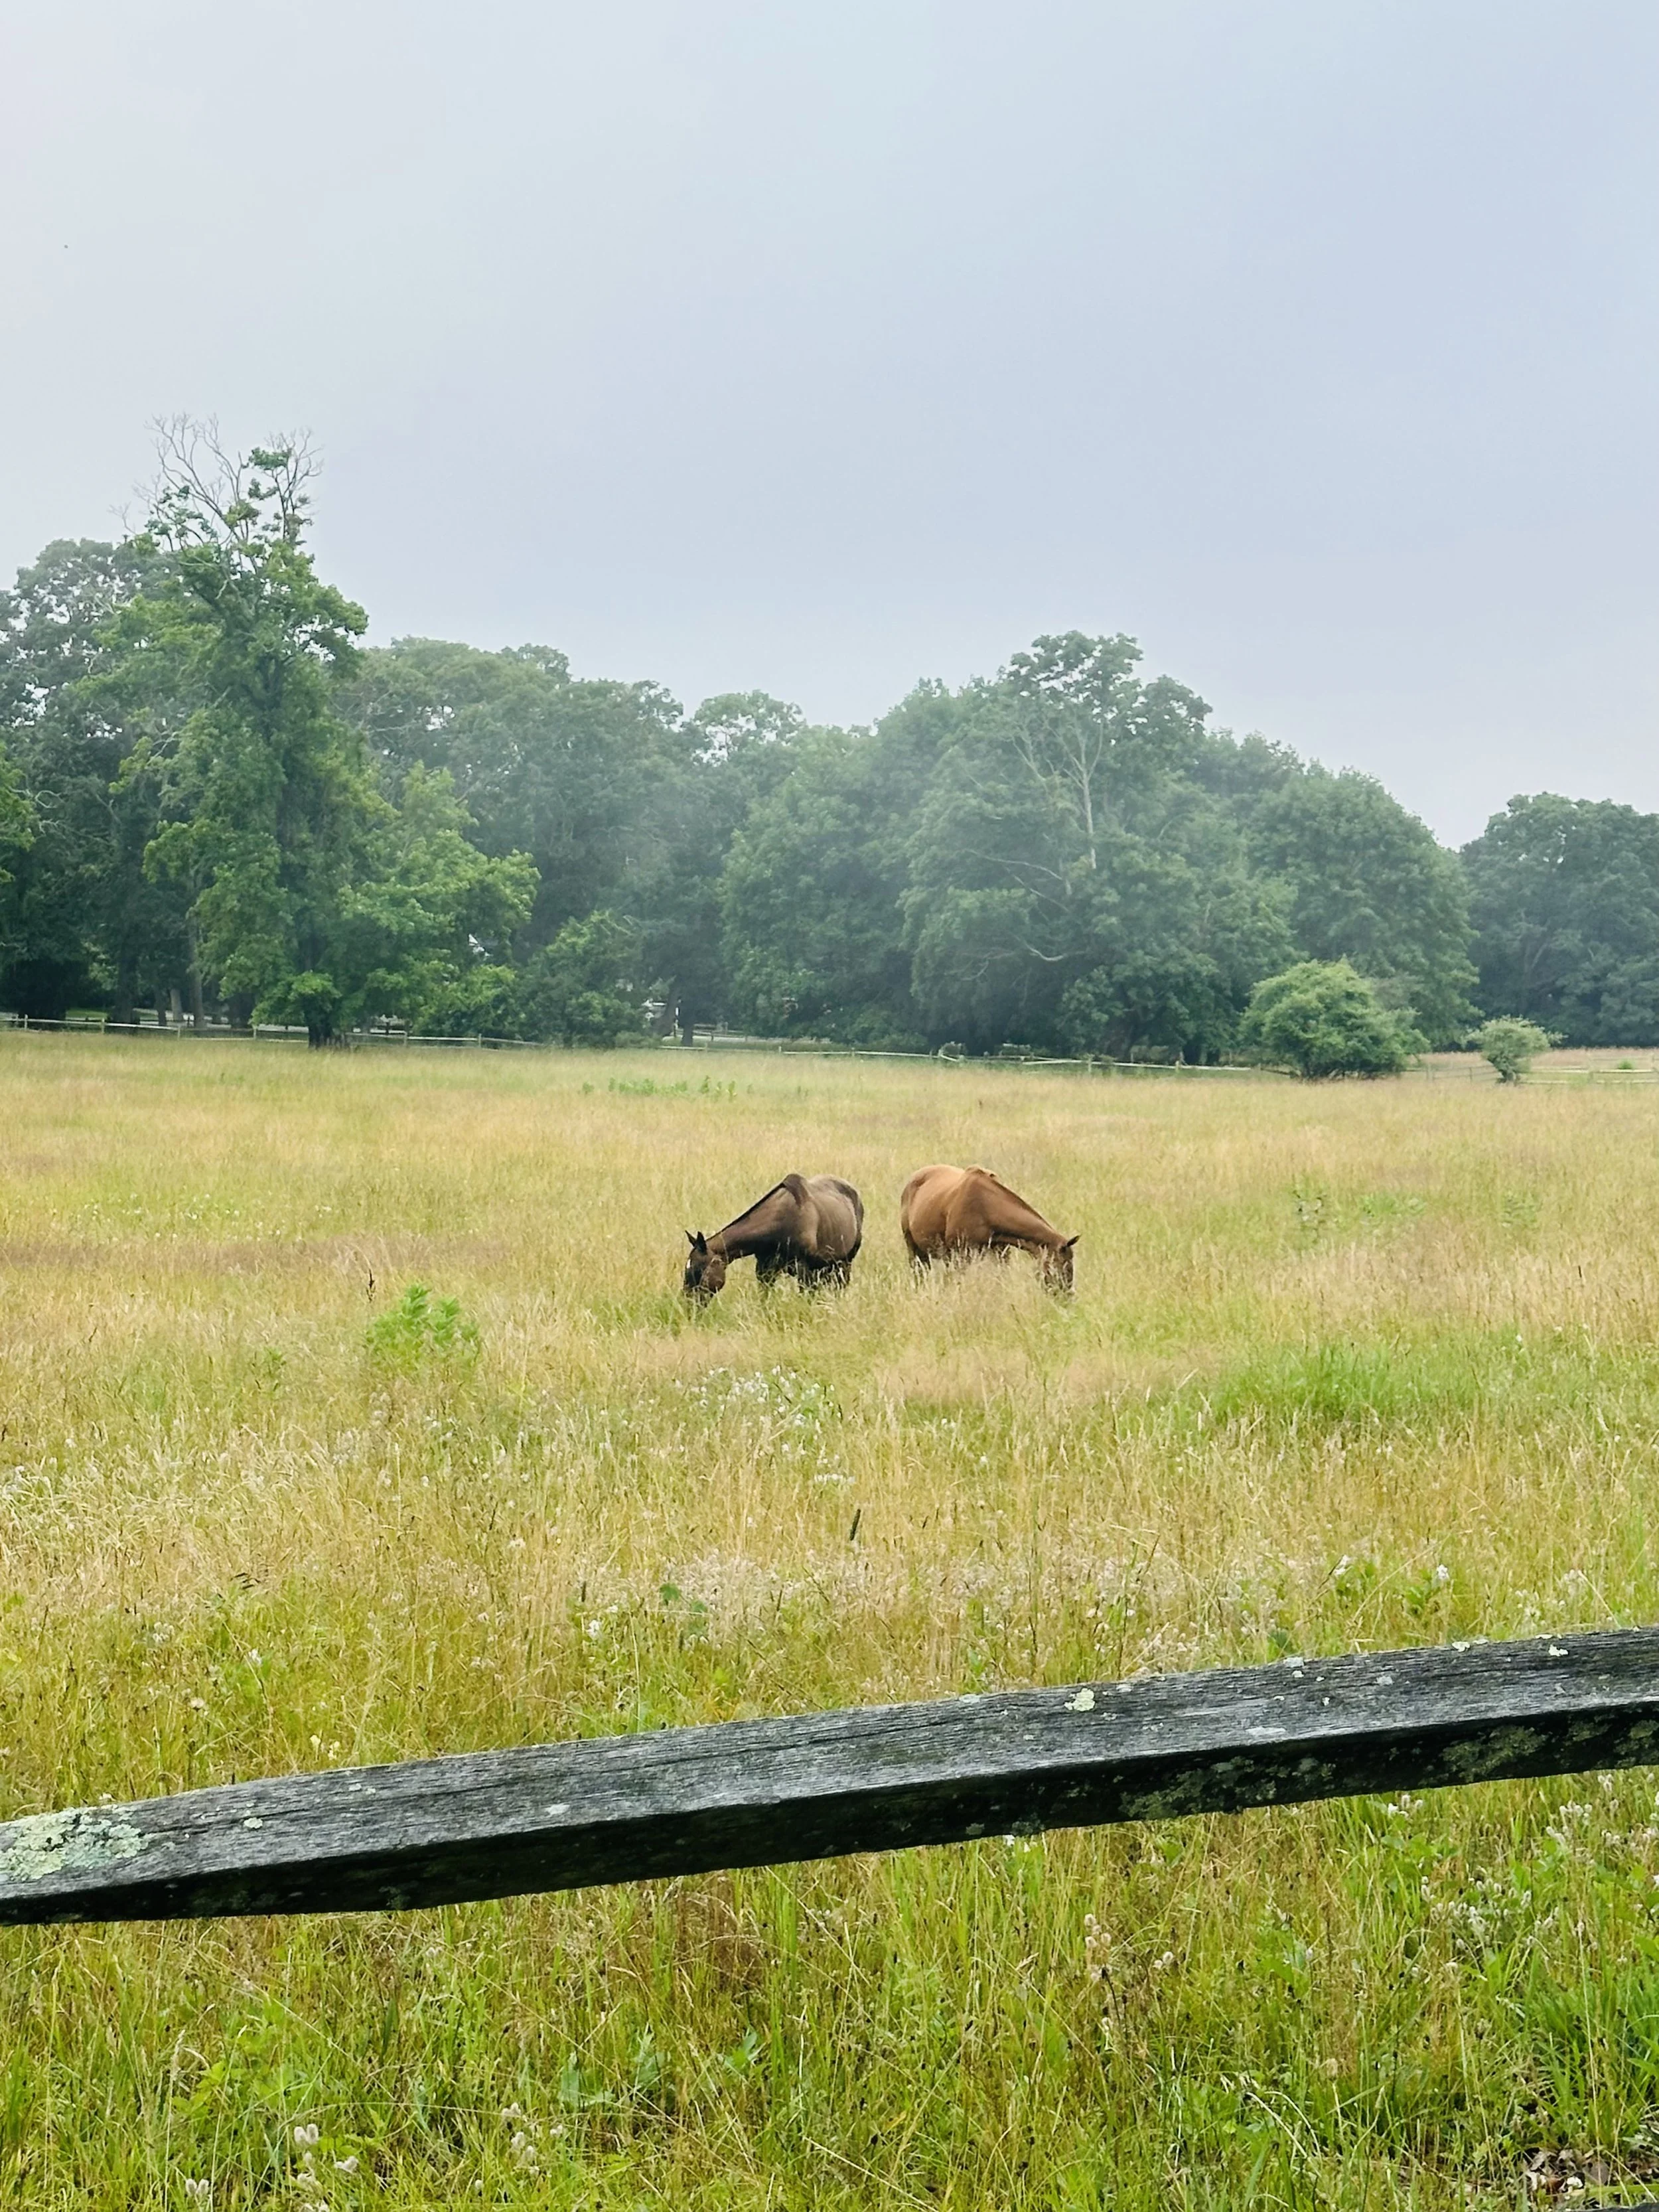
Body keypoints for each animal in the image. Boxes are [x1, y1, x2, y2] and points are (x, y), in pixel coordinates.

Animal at [899, 1164, 1077, 1292]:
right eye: (1063, 1265)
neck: (984, 1204)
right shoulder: (961, 1255)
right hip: (915, 1251)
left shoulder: (1001, 1252)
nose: (1065, 1295)